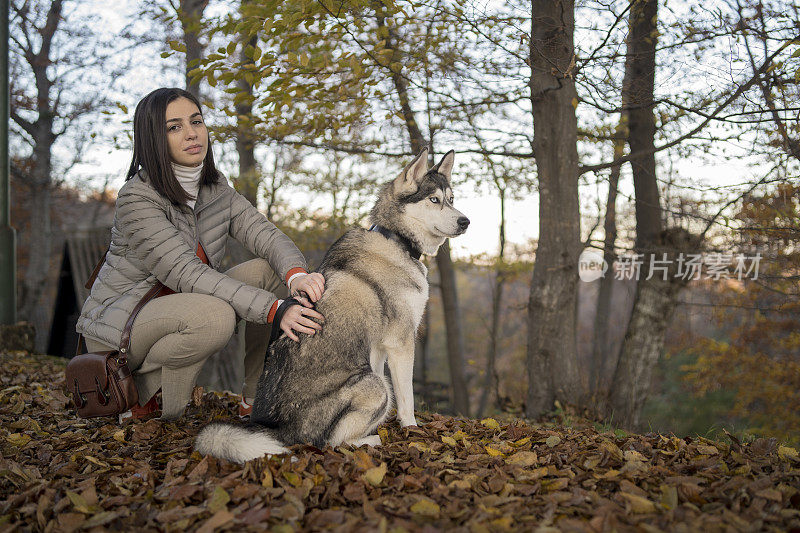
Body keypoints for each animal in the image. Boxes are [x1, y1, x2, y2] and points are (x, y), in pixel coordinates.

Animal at [195, 149, 468, 462]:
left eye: (452, 199)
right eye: (434, 200)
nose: (466, 221)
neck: (395, 239)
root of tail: (278, 427)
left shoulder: (377, 347)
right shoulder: (400, 342)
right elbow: (407, 397)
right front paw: (411, 428)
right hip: (374, 387)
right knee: (331, 442)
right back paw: (370, 440)